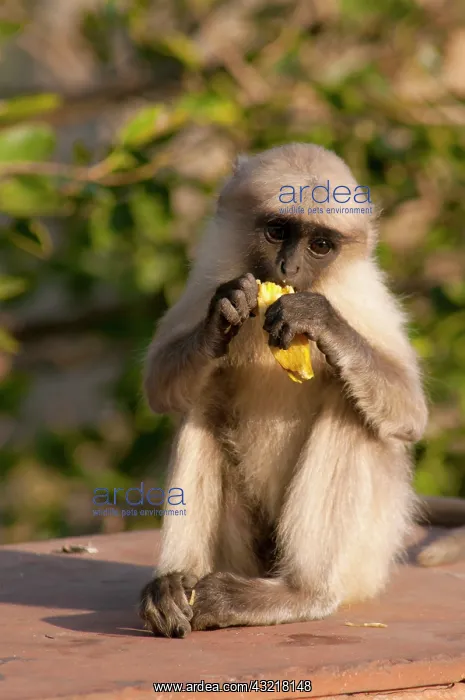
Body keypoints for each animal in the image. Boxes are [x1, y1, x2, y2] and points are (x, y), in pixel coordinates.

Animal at [139, 142, 463, 639]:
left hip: (365, 562)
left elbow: (410, 414)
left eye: (320, 245)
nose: (288, 267)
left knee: (351, 406)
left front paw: (317, 318)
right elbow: (159, 385)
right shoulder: (211, 272)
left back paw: (298, 593)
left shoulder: (362, 295)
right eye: (277, 232)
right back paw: (176, 583)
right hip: (242, 552)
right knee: (203, 398)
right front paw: (222, 316)